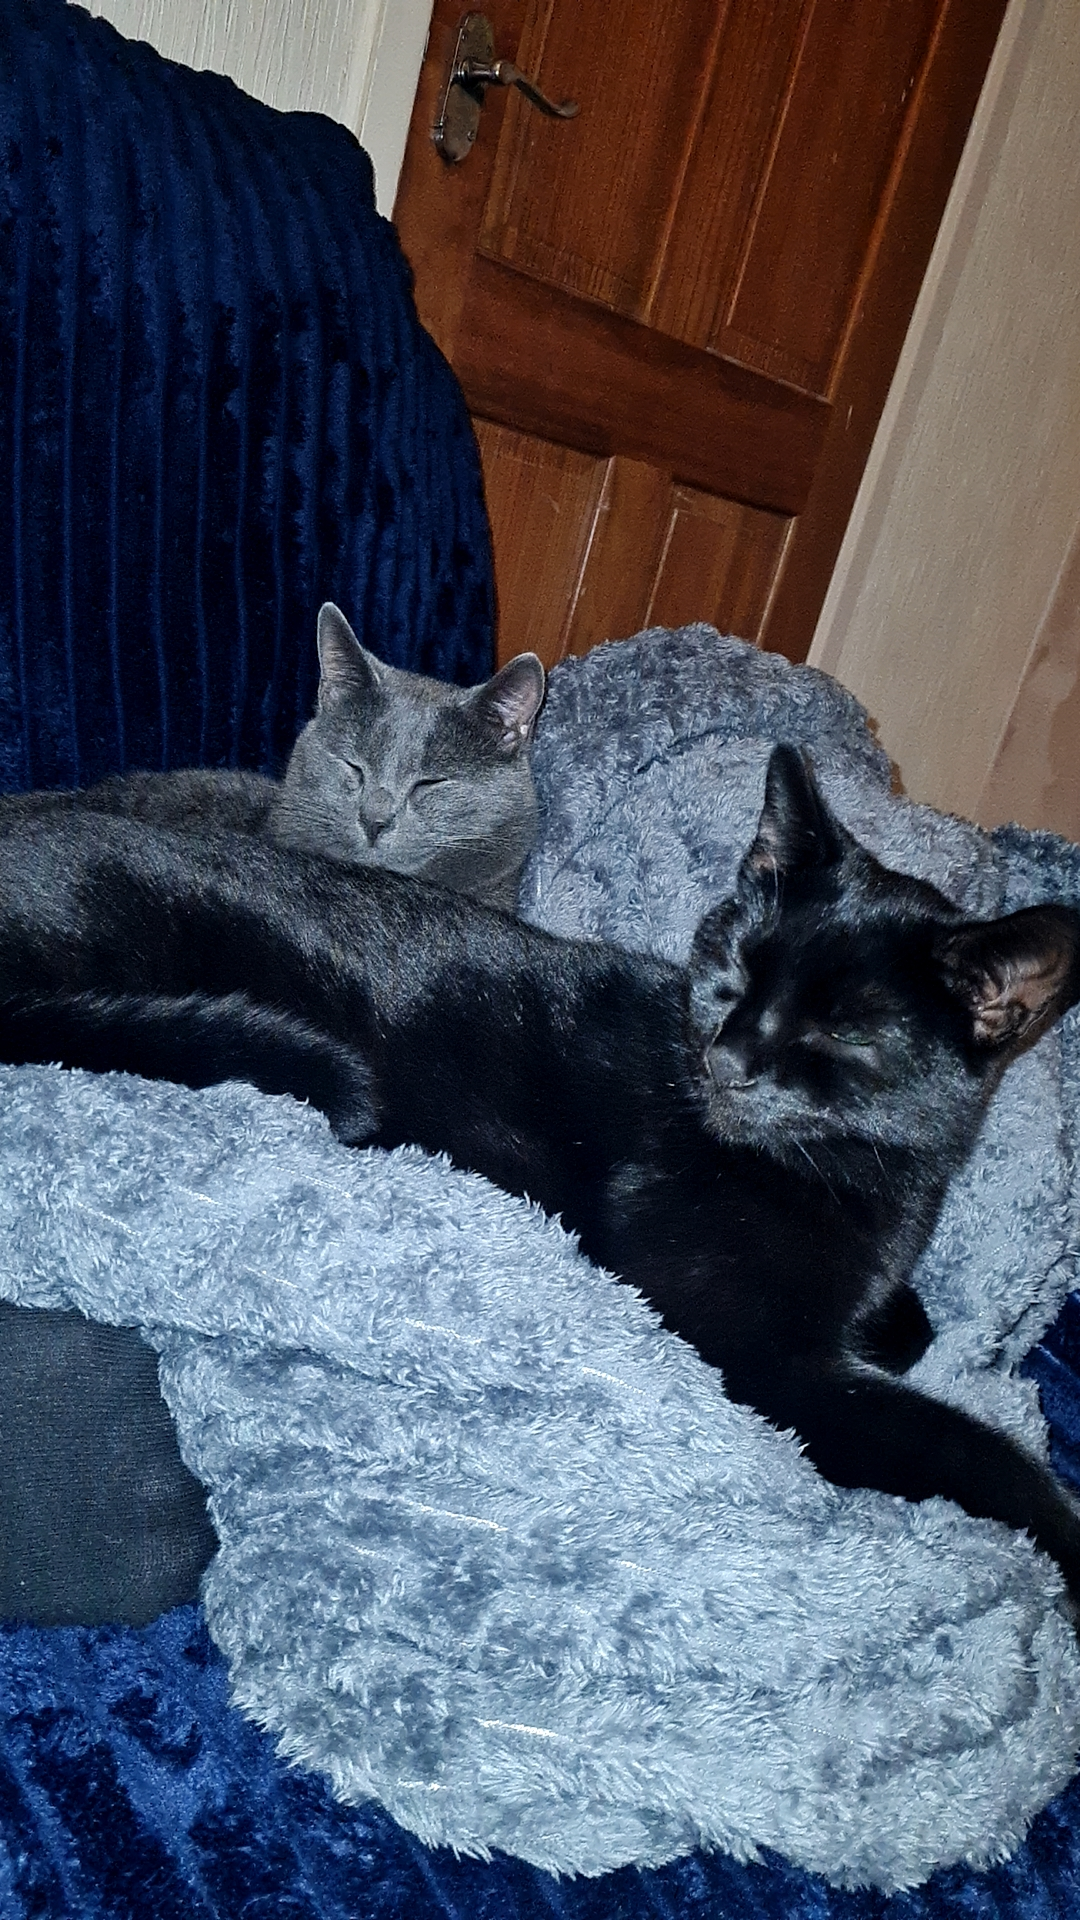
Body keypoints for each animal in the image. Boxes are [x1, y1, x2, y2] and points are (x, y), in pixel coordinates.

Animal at [2, 744, 1080, 1620]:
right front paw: (1065, 1535)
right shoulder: (754, 1358)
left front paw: (898, 1319)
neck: (854, 1175)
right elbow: (962, 1445)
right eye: (734, 968)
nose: (729, 1058)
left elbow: (906, 1321)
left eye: (847, 1031)